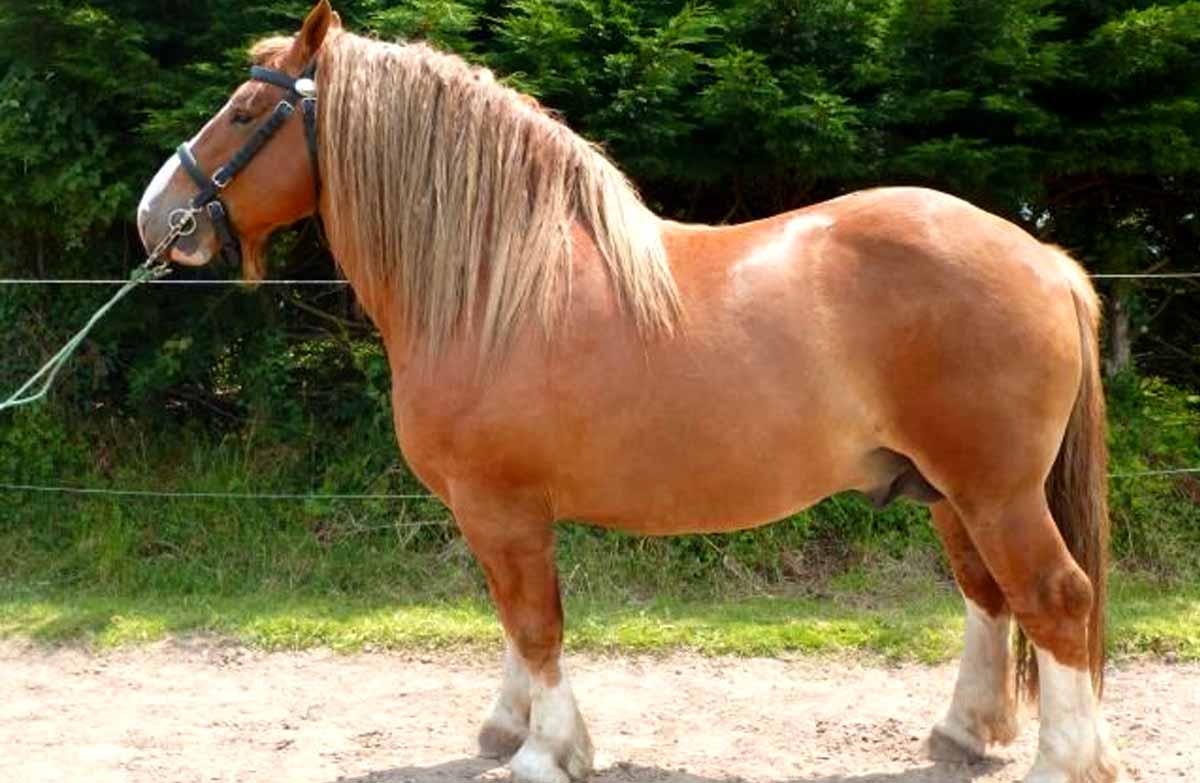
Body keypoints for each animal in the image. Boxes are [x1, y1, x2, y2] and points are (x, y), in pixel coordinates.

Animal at [136, 3, 1121, 782]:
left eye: (246, 110)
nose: (156, 218)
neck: (492, 283)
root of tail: (1042, 256)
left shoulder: (500, 505)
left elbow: (536, 622)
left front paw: (548, 751)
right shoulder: (492, 511)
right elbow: (510, 618)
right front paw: (509, 727)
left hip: (996, 491)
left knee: (1056, 598)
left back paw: (1065, 761)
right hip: (948, 491)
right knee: (990, 597)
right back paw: (964, 732)